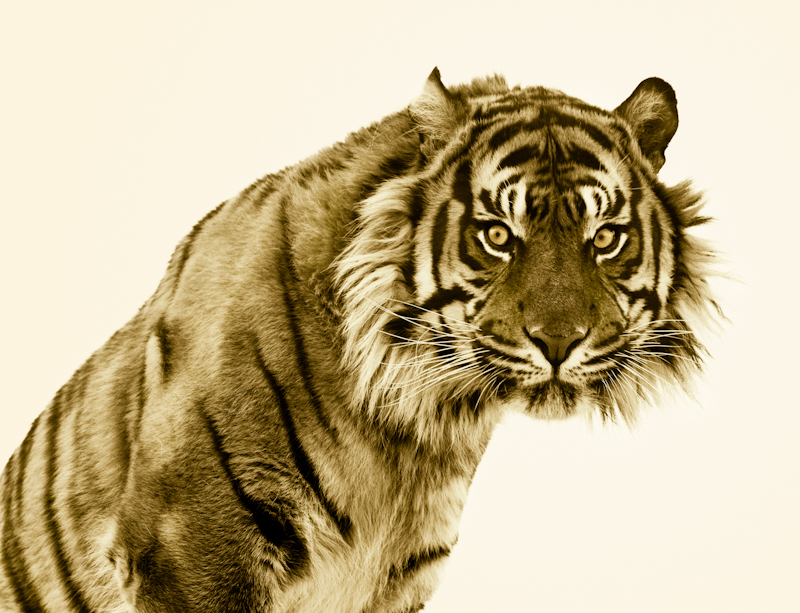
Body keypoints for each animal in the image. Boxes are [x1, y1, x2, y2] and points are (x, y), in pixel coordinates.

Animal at [0, 68, 718, 613]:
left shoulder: (396, 574)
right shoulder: (187, 543)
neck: (411, 431)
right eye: (496, 235)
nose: (560, 341)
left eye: (606, 238)